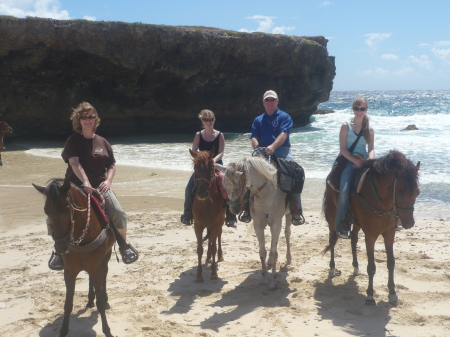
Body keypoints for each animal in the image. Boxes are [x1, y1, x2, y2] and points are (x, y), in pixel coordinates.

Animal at [32, 178, 115, 336]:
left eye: (66, 207)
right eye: (46, 210)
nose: (60, 247)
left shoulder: (96, 268)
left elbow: (100, 303)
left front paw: (107, 330)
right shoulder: (69, 271)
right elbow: (68, 304)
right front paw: (63, 330)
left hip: (105, 258)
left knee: (105, 275)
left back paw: (105, 299)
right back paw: (90, 300)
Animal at [190, 148, 227, 282]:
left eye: (210, 167)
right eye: (195, 167)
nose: (201, 193)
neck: (206, 204)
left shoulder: (216, 224)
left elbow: (213, 246)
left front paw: (213, 273)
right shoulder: (198, 226)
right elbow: (200, 249)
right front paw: (199, 275)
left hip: (219, 224)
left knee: (217, 238)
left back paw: (219, 256)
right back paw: (208, 258)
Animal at [217, 156, 292, 290]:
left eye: (237, 184)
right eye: (224, 185)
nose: (233, 208)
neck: (266, 193)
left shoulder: (276, 224)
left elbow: (274, 252)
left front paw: (273, 282)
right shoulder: (258, 224)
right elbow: (262, 251)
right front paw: (264, 278)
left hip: (288, 214)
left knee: (287, 233)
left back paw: (288, 259)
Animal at [324, 151, 418, 306]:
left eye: (417, 192)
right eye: (399, 194)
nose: (409, 223)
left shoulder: (389, 234)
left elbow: (391, 263)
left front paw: (392, 293)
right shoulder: (370, 235)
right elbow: (371, 266)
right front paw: (369, 295)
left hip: (356, 223)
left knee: (354, 239)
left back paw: (356, 267)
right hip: (332, 216)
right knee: (332, 239)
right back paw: (332, 268)